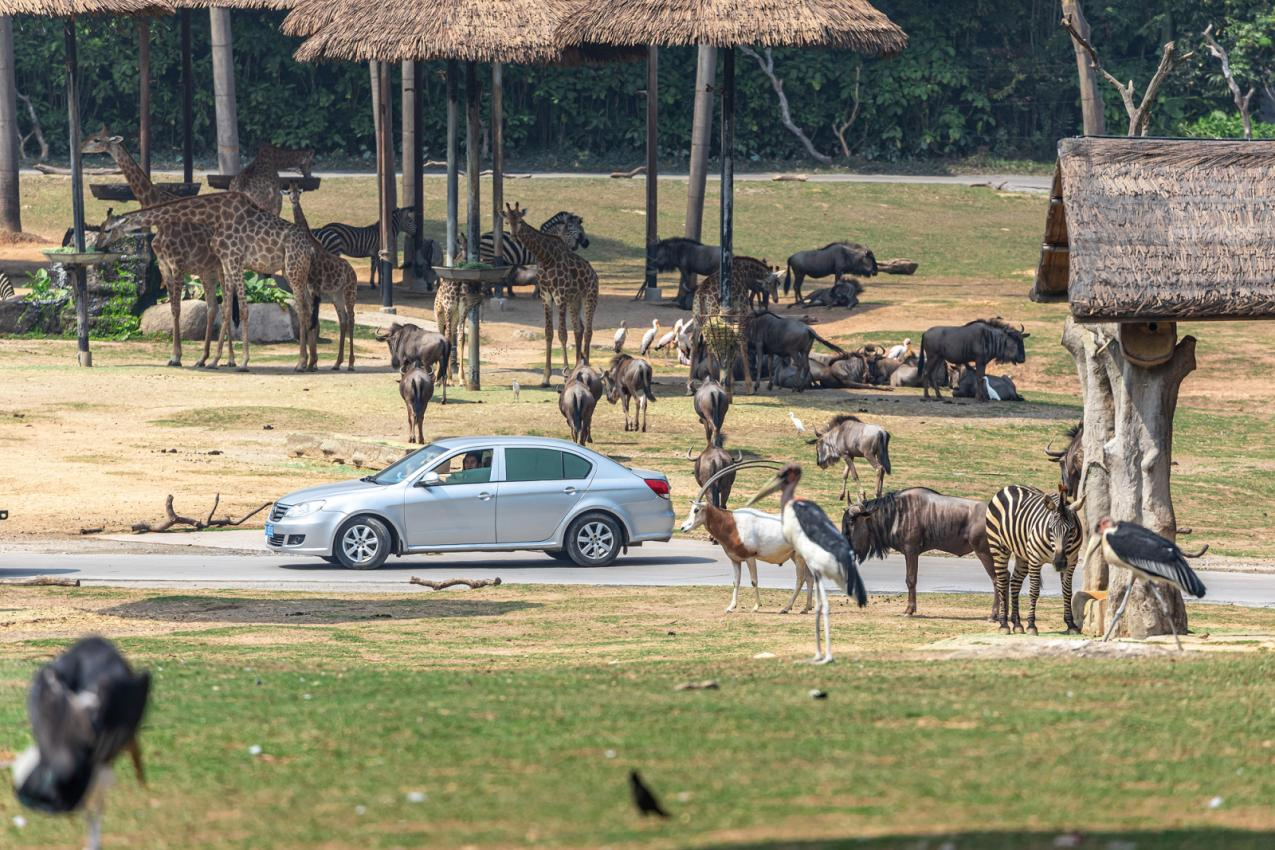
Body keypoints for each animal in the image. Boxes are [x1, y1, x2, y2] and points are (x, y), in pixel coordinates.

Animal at [79, 128, 224, 367]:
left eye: (96, 140)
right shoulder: (164, 264)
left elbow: (177, 307)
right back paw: (207, 358)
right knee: (216, 306)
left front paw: (176, 357)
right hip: (208, 270)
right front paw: (175, 356)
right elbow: (174, 308)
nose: (80, 147)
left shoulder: (178, 263)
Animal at [98, 194, 316, 369]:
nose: (98, 246)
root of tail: (310, 247)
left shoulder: (233, 259)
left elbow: (242, 310)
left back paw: (300, 362)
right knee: (308, 306)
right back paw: (311, 362)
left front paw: (243, 362)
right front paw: (214, 360)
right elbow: (226, 310)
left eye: (107, 229)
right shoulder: (227, 263)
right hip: (292, 271)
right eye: (100, 228)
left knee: (302, 309)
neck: (214, 216)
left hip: (293, 269)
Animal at [284, 184, 354, 369]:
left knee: (351, 319)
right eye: (289, 192)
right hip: (336, 294)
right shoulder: (310, 287)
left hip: (350, 291)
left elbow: (312, 318)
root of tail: (353, 271)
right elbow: (310, 317)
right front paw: (311, 362)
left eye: (298, 192)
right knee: (343, 319)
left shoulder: (314, 286)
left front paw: (310, 362)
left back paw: (351, 364)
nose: (294, 200)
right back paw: (337, 363)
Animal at [497, 202, 596, 384]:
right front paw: (546, 377)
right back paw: (578, 367)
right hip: (575, 301)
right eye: (507, 222)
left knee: (588, 331)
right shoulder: (546, 297)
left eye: (520, 221)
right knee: (579, 328)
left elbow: (562, 334)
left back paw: (585, 368)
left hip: (590, 297)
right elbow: (548, 333)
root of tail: (594, 274)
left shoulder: (560, 296)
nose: (514, 236)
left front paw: (565, 374)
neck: (545, 256)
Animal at [984, 484, 1086, 637]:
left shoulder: (1071, 561)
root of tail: (1010, 486)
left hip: (1023, 555)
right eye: (1050, 529)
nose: (1059, 563)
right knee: (1002, 582)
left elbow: (1067, 592)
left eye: (1072, 530)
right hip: (998, 546)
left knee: (1015, 583)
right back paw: (1004, 624)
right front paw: (1031, 625)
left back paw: (1017, 624)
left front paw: (1071, 625)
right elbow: (1034, 591)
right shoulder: (1035, 560)